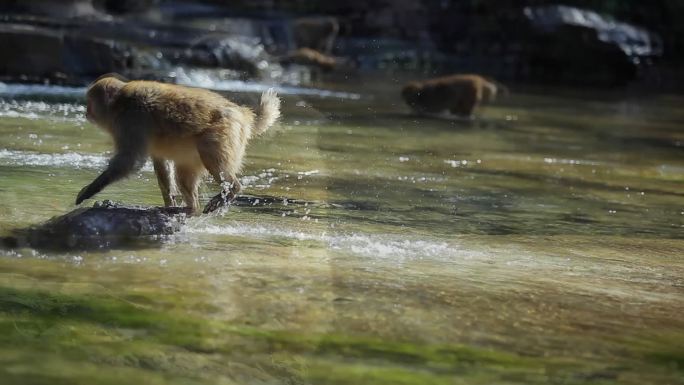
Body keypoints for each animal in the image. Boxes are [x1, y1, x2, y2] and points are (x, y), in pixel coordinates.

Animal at [79, 73, 282, 214]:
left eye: (90, 102)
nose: (86, 112)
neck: (120, 104)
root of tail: (243, 114)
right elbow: (160, 163)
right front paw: (170, 201)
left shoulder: (131, 120)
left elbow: (130, 161)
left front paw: (89, 190)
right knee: (184, 172)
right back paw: (190, 208)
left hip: (226, 131)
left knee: (209, 151)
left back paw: (232, 189)